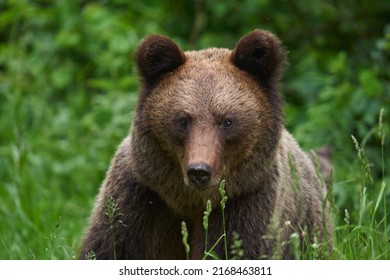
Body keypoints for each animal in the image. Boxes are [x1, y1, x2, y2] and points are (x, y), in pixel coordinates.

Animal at [78, 29, 332, 260]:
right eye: (182, 119)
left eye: (227, 121)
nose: (199, 171)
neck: (190, 202)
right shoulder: (141, 201)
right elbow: (109, 246)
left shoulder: (246, 203)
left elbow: (234, 248)